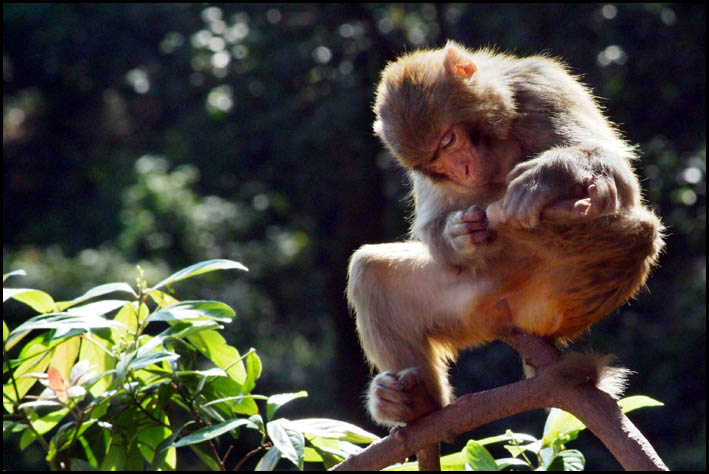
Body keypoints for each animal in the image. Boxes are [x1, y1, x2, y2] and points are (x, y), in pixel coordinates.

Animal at [348, 41, 664, 426]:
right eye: (434, 162)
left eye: (448, 139)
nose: (463, 170)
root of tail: (511, 315)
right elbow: (431, 227)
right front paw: (457, 235)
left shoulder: (541, 86)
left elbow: (619, 175)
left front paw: (548, 176)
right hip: (468, 301)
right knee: (371, 271)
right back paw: (415, 404)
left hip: (544, 298)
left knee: (640, 231)